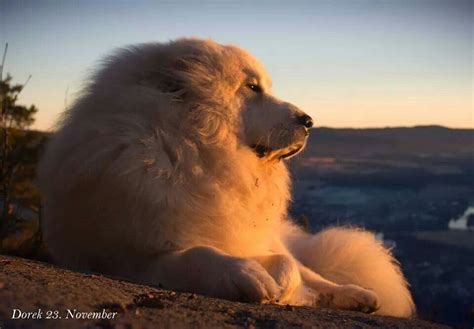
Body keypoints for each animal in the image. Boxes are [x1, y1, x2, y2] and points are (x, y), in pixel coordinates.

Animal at [39, 37, 412, 316]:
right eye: (252, 87)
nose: (309, 121)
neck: (188, 151)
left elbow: (287, 265)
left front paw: (280, 284)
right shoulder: (130, 256)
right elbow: (198, 254)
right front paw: (245, 275)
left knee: (309, 269)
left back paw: (358, 294)